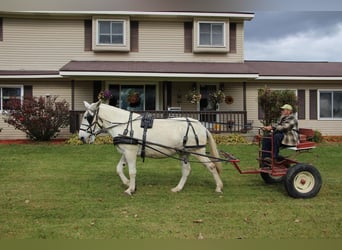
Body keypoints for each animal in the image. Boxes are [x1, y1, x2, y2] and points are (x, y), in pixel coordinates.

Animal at [79, 100, 224, 194]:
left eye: (87, 117)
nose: (80, 137)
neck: (124, 125)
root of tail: (201, 125)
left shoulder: (130, 152)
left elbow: (132, 171)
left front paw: (130, 189)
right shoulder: (126, 151)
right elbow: (119, 168)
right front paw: (127, 183)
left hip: (197, 150)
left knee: (211, 166)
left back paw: (218, 187)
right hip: (184, 152)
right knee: (186, 170)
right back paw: (178, 188)